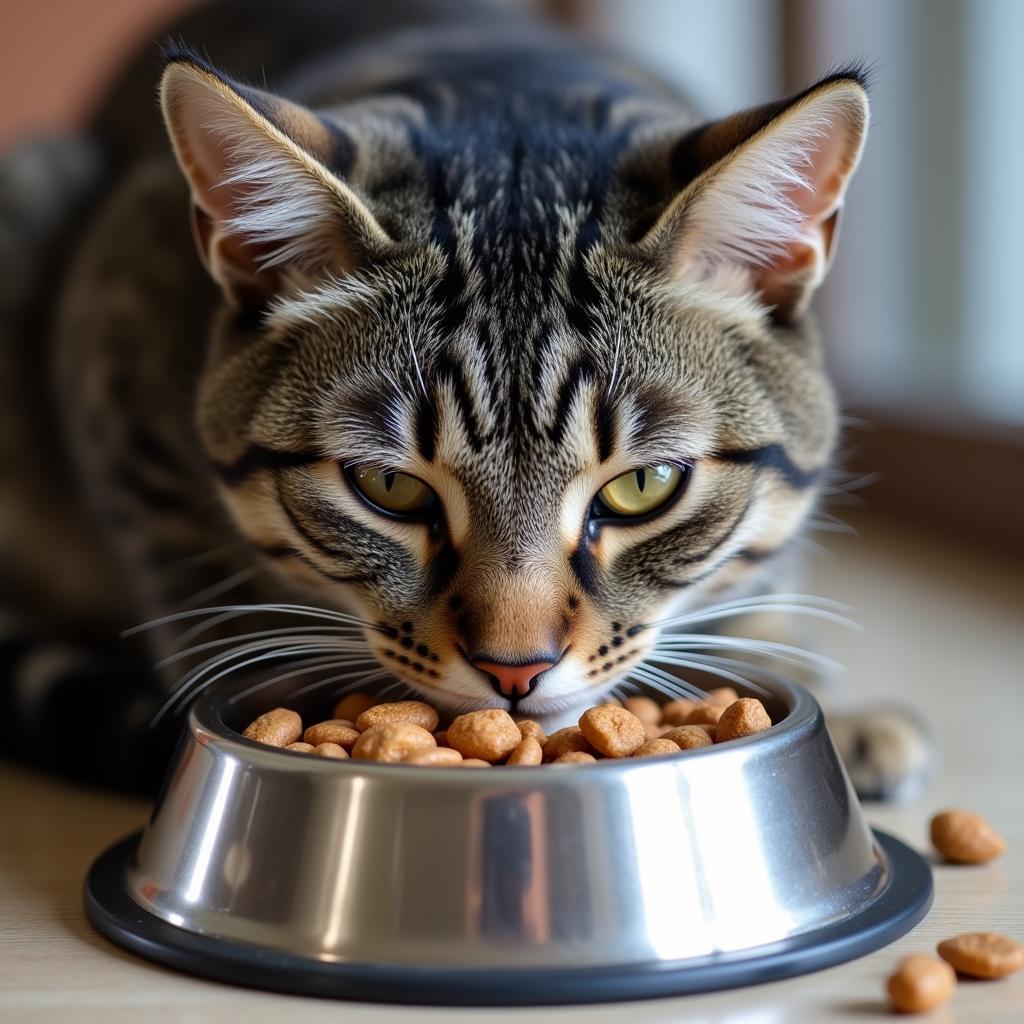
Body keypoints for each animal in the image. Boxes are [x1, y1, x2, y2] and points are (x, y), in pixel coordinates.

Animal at [0, 0, 929, 794]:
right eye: (388, 486)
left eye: (645, 485)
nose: (515, 671)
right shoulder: (118, 343)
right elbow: (203, 595)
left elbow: (759, 565)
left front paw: (813, 694)